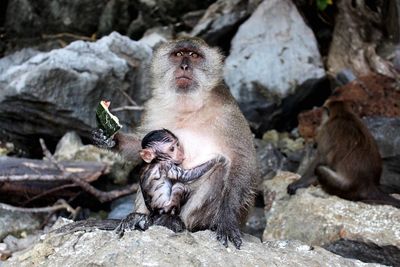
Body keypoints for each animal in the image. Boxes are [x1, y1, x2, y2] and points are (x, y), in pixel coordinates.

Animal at [93, 37, 260, 249]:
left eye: (195, 55)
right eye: (179, 54)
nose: (185, 66)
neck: (187, 105)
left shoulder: (229, 114)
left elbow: (243, 160)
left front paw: (227, 220)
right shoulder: (154, 107)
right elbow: (143, 147)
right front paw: (111, 139)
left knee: (220, 169)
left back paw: (177, 222)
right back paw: (141, 218)